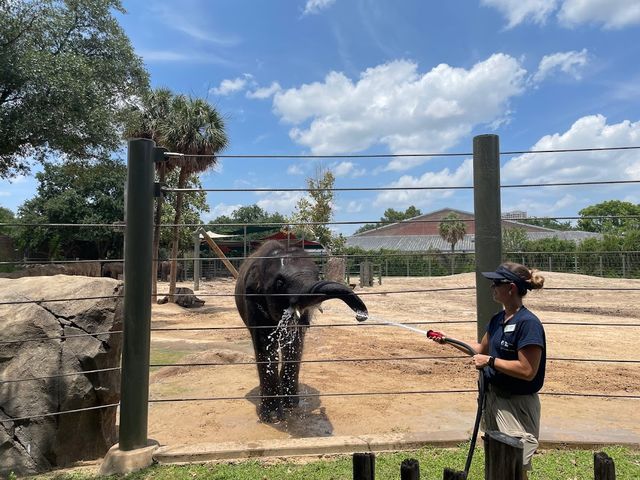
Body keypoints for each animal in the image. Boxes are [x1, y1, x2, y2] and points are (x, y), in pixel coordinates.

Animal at [234, 242, 370, 422]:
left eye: (318, 276)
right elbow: (265, 346)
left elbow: (295, 344)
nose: (360, 316)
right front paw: (273, 417)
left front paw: (290, 406)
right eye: (279, 282)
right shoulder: (253, 302)